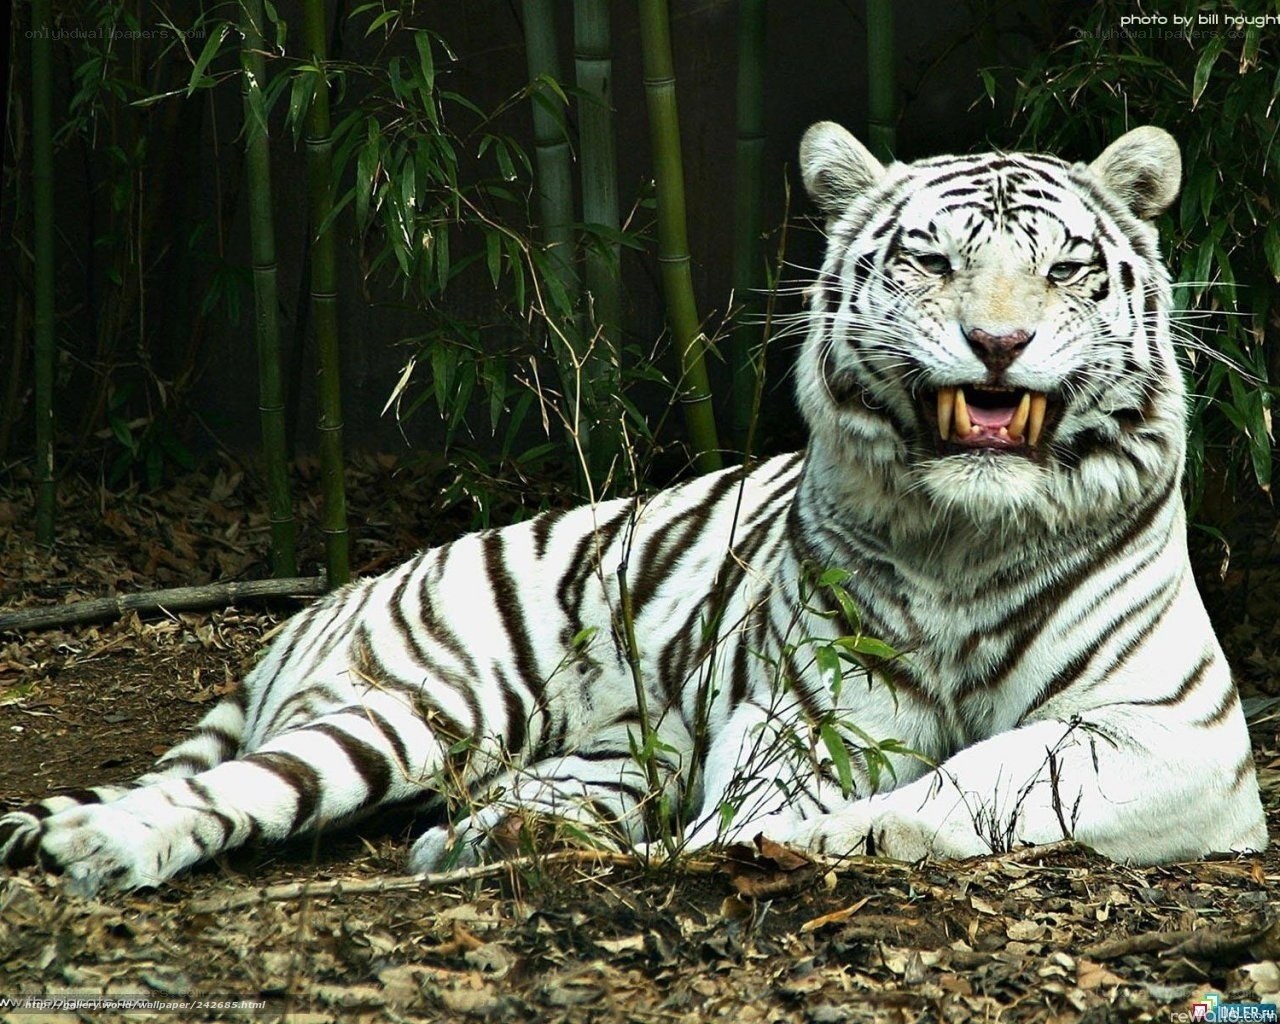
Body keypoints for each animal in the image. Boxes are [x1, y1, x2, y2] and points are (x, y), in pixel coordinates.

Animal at [1, 123, 1267, 896]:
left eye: (1063, 269)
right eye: (928, 261)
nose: (995, 343)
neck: (964, 532)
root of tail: (326, 601)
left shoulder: (1169, 732)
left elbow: (980, 783)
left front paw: (789, 840)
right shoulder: (804, 716)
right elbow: (818, 790)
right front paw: (746, 839)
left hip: (582, 756)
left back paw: (499, 837)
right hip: (409, 707)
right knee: (244, 783)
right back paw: (101, 843)